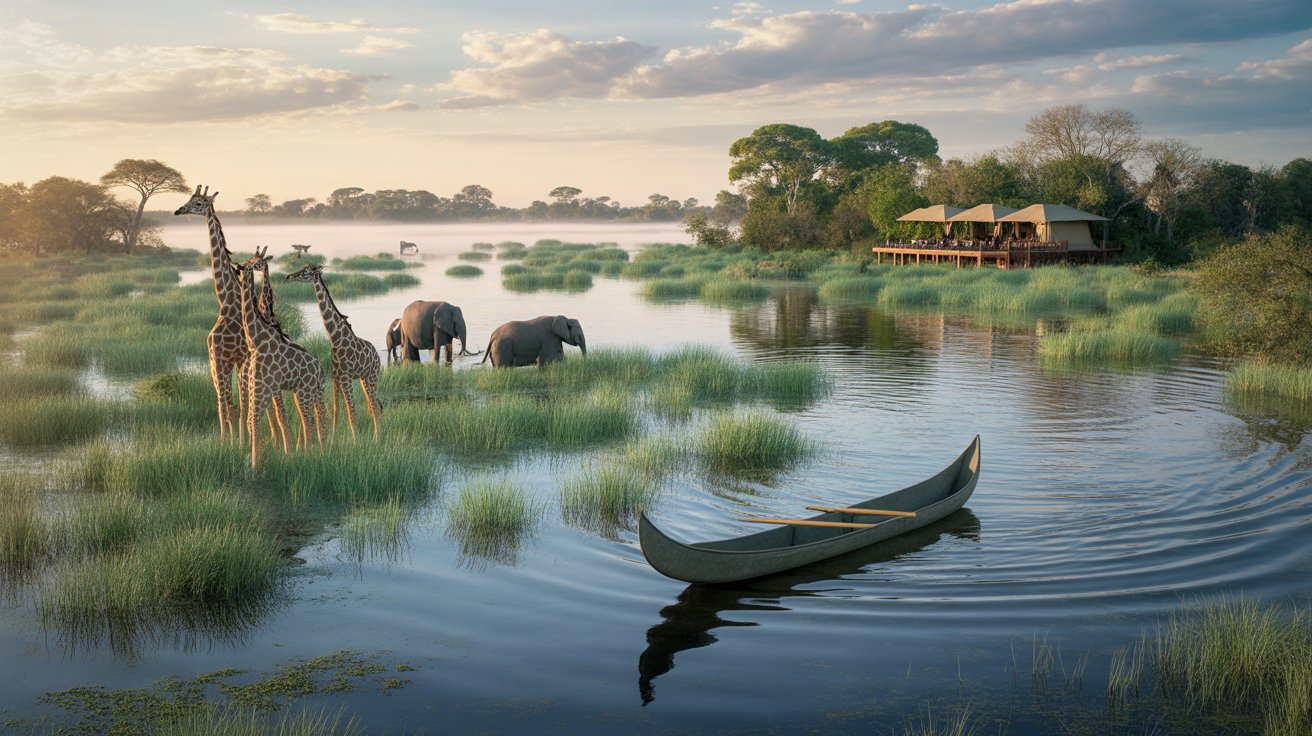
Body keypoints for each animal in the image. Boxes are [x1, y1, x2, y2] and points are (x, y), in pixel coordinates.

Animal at [237, 254, 326, 470]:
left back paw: (309, 453)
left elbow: (272, 419)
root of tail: (319, 368)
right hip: (301, 391)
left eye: (255, 262)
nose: (239, 267)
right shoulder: (260, 387)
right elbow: (260, 419)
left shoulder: (265, 388)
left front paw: (261, 461)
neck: (256, 341)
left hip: (303, 391)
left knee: (310, 421)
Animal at [284, 264, 382, 439]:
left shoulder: (346, 376)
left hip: (373, 376)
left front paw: (355, 441)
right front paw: (332, 442)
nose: (288, 276)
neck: (334, 337)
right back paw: (374, 437)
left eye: (306, 272)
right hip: (364, 378)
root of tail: (377, 355)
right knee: (373, 406)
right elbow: (337, 412)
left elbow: (351, 411)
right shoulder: (336, 376)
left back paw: (377, 439)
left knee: (375, 407)